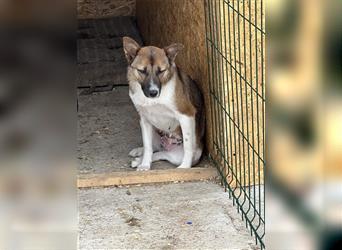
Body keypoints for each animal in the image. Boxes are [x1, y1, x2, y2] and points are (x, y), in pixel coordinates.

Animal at [122, 36, 204, 170]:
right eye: (142, 71)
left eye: (161, 71)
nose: (153, 92)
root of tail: (167, 145)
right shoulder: (144, 119)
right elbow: (148, 146)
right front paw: (145, 164)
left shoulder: (186, 115)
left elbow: (188, 147)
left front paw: (185, 167)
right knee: (155, 148)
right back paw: (140, 156)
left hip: (176, 156)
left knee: (162, 153)